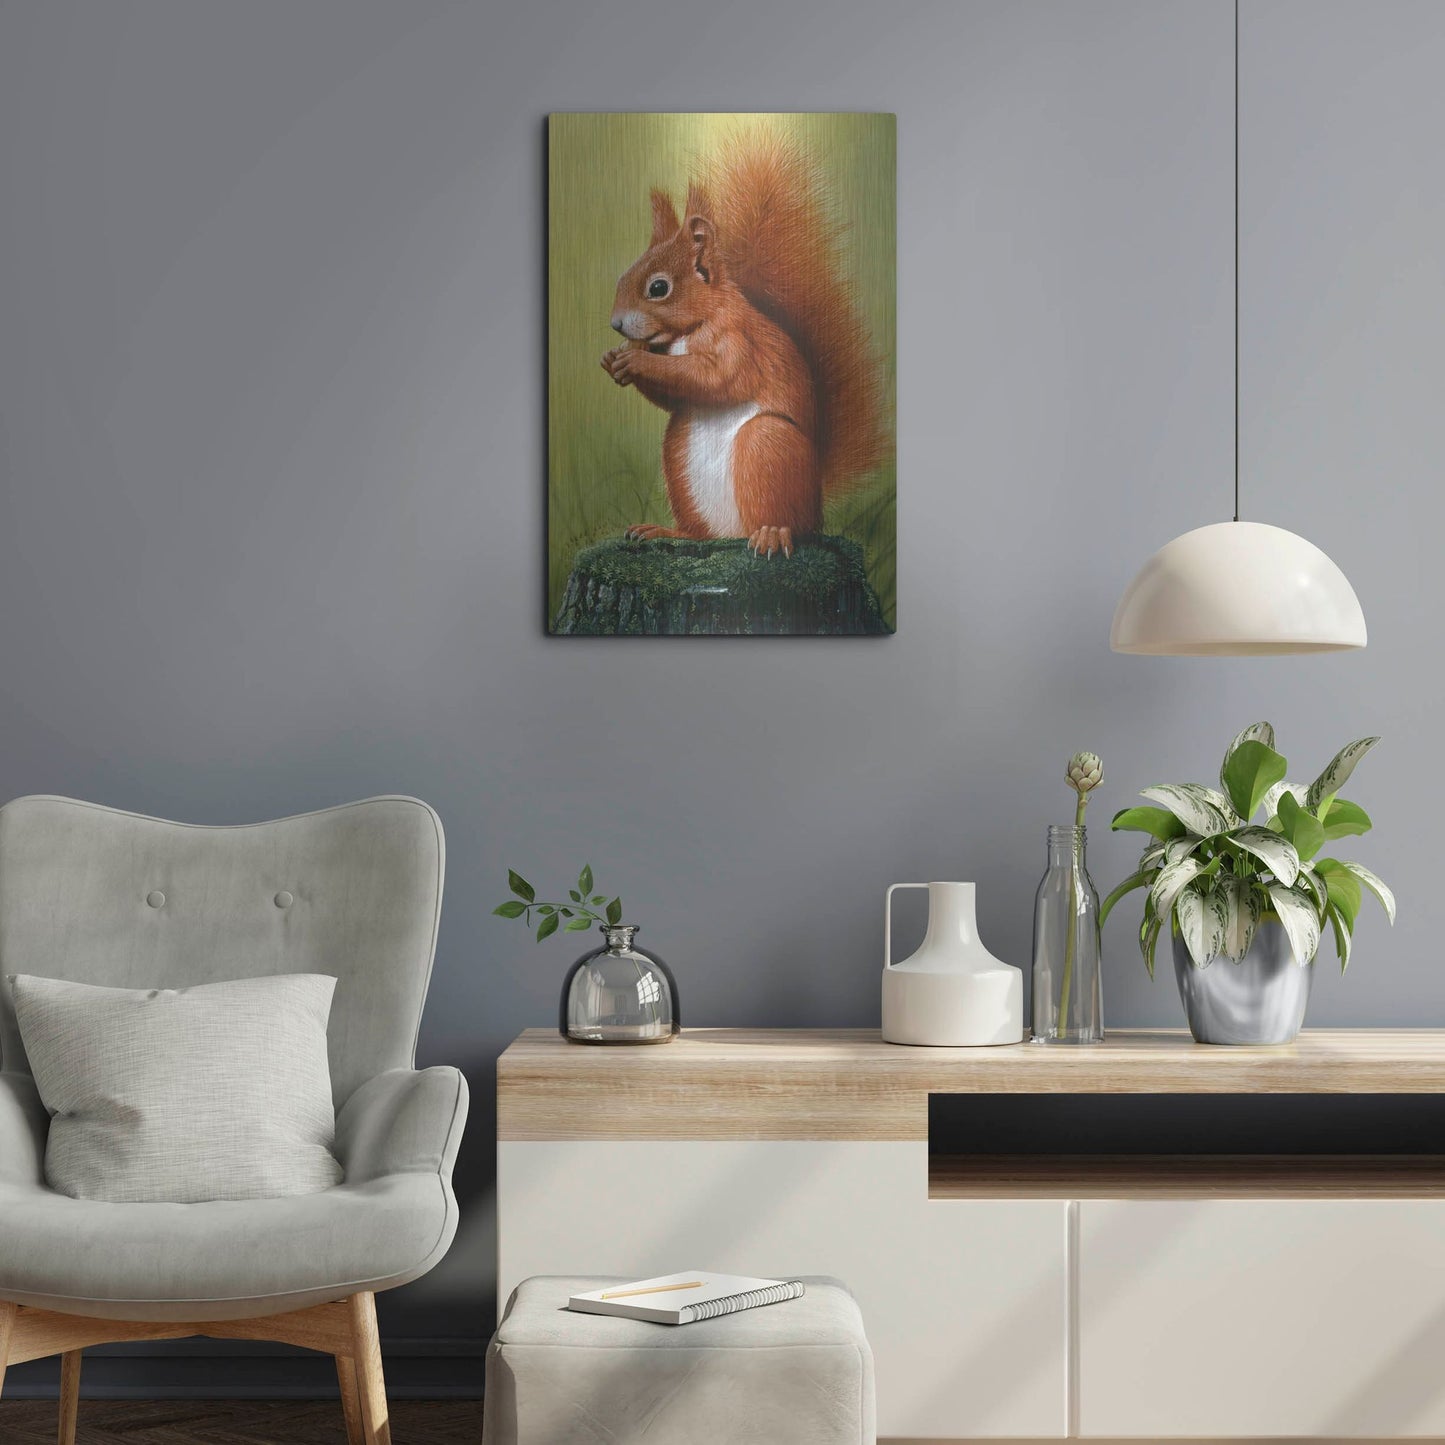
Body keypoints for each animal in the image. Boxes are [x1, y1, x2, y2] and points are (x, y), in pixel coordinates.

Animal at [601, 134, 884, 560]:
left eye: (658, 288)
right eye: (622, 277)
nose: (616, 323)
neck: (691, 329)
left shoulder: (738, 342)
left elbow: (716, 379)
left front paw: (634, 359)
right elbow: (675, 395)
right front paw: (613, 360)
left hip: (767, 446)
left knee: (789, 521)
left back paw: (772, 534)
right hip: (677, 455)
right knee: (702, 533)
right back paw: (667, 531)